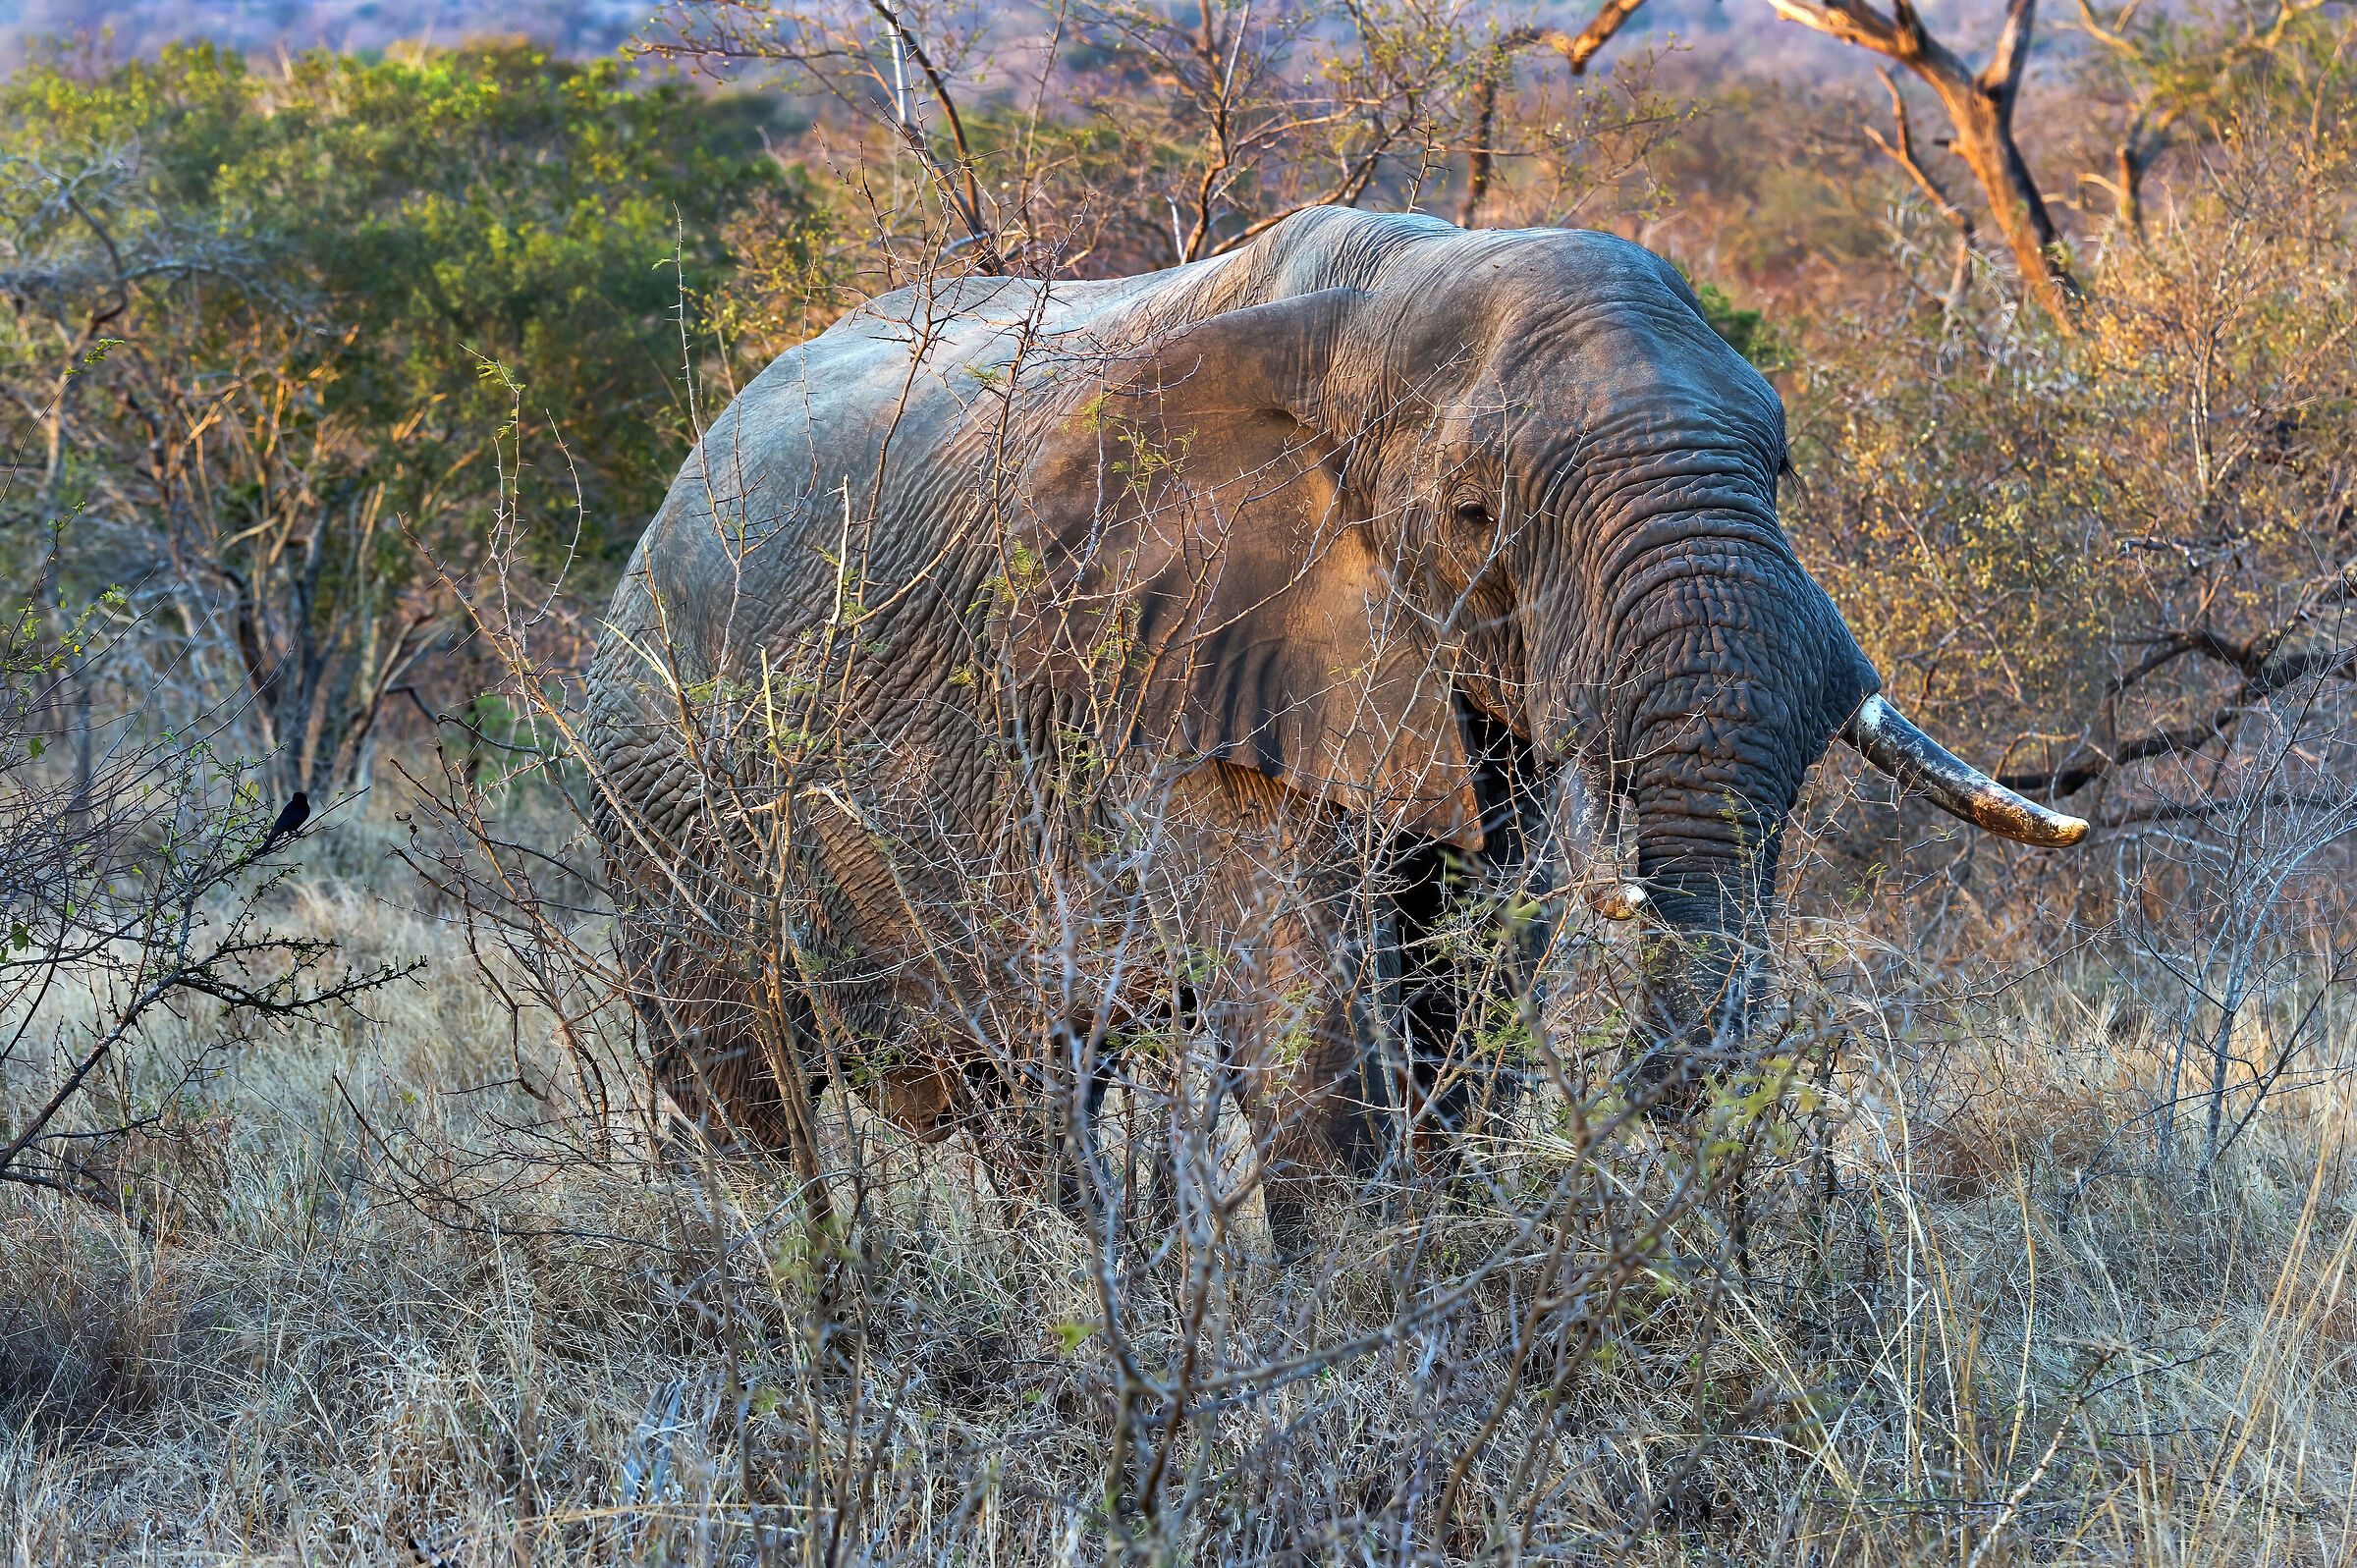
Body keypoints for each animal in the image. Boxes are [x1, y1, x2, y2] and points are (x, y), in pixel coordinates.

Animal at [585, 206, 2085, 1245]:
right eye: (1476, 512)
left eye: (1778, 465)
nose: (1659, 1104)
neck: (1386, 295)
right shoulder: (1189, 661)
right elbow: (1306, 999)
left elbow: (1479, 970)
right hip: (654, 780)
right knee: (743, 1094)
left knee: (1033, 1095)